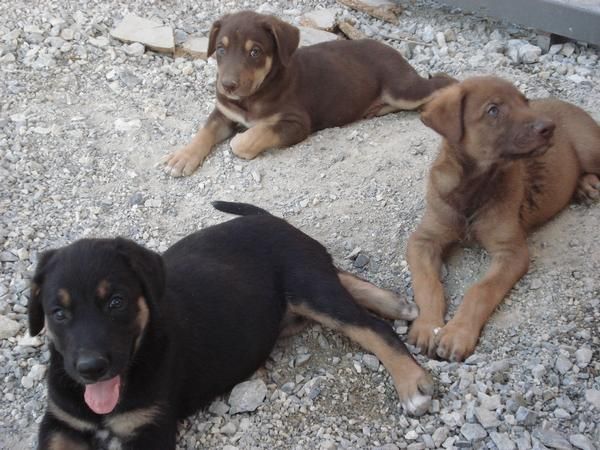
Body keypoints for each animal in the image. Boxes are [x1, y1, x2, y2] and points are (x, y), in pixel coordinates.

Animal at [29, 202, 432, 448]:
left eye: (116, 302)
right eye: (58, 313)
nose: (90, 369)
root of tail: (270, 219)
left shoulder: (151, 428)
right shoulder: (59, 422)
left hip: (306, 285)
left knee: (371, 327)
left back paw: (411, 383)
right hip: (308, 284)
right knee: (342, 277)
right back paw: (395, 302)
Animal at [162, 10, 452, 176]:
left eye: (255, 52)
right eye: (221, 50)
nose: (227, 85)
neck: (255, 94)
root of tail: (393, 50)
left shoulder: (296, 123)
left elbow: (251, 136)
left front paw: (240, 140)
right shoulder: (224, 111)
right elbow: (205, 131)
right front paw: (183, 157)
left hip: (402, 87)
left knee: (441, 83)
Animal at [406, 75, 596, 360]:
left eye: (525, 101)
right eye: (493, 110)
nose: (549, 128)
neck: (474, 188)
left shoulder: (512, 251)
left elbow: (481, 290)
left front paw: (457, 333)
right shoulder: (423, 239)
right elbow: (427, 283)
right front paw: (428, 326)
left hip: (590, 149)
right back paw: (585, 186)